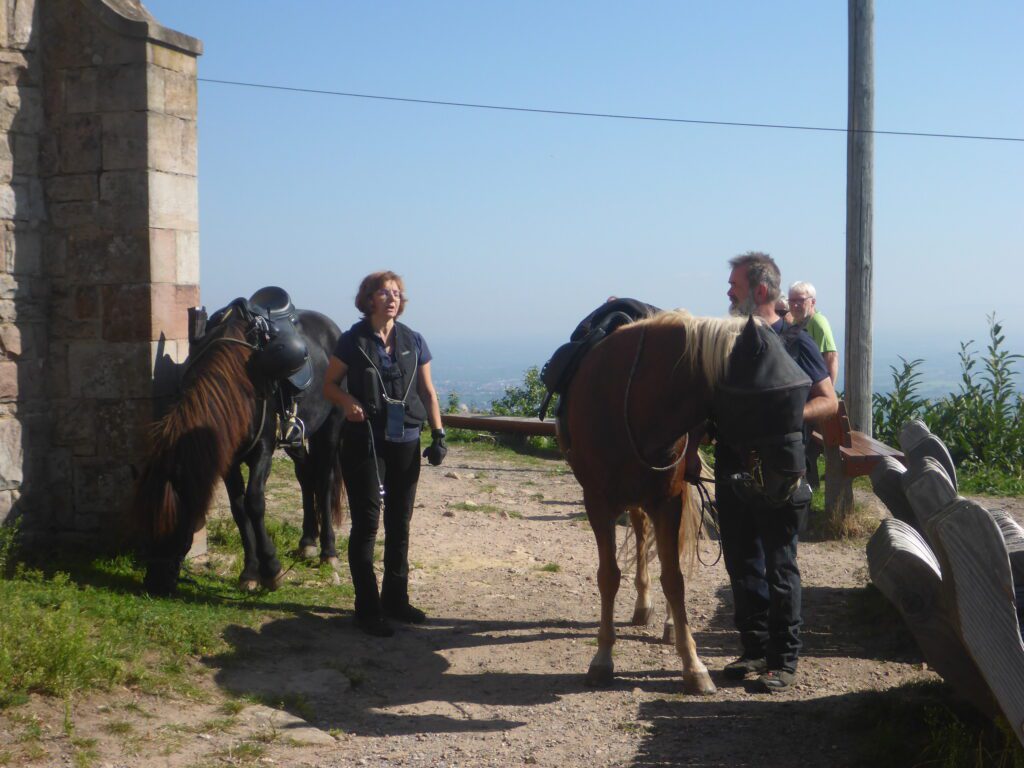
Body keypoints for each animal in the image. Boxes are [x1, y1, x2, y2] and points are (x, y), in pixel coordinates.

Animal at [134, 296, 347, 596]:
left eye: (171, 523)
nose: (154, 583)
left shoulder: (263, 450)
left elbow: (255, 502)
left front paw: (272, 569)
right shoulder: (228, 459)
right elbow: (238, 509)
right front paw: (250, 572)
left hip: (330, 429)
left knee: (325, 482)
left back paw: (328, 552)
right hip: (295, 437)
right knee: (306, 477)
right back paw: (307, 542)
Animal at [558, 309, 808, 694]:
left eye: (801, 395)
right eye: (766, 400)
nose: (791, 480)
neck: (632, 399)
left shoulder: (668, 500)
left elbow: (674, 578)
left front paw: (693, 665)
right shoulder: (597, 503)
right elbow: (609, 576)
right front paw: (602, 659)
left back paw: (668, 623)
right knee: (640, 533)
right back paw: (643, 605)